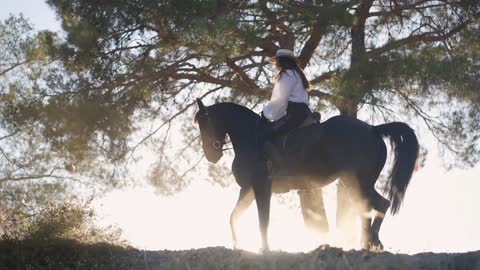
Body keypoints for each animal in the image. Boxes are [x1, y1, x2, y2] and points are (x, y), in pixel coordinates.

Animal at [193, 98, 418, 252]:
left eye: (205, 124)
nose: (211, 155)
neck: (251, 138)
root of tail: (373, 129)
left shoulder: (261, 186)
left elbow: (263, 219)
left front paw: (264, 248)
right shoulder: (248, 190)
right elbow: (234, 217)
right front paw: (238, 245)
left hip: (359, 182)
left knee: (381, 204)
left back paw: (373, 241)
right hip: (353, 183)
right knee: (367, 207)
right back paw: (366, 243)